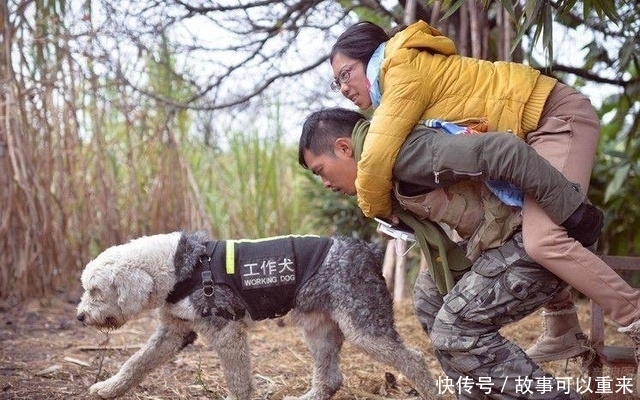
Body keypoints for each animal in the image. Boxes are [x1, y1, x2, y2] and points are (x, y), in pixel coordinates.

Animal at [76, 231, 436, 400]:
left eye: (95, 290)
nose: (80, 317)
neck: (178, 267)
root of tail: (369, 250)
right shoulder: (174, 332)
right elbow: (135, 363)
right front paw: (107, 388)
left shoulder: (226, 330)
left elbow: (238, 381)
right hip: (318, 328)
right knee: (331, 378)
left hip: (363, 326)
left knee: (416, 360)